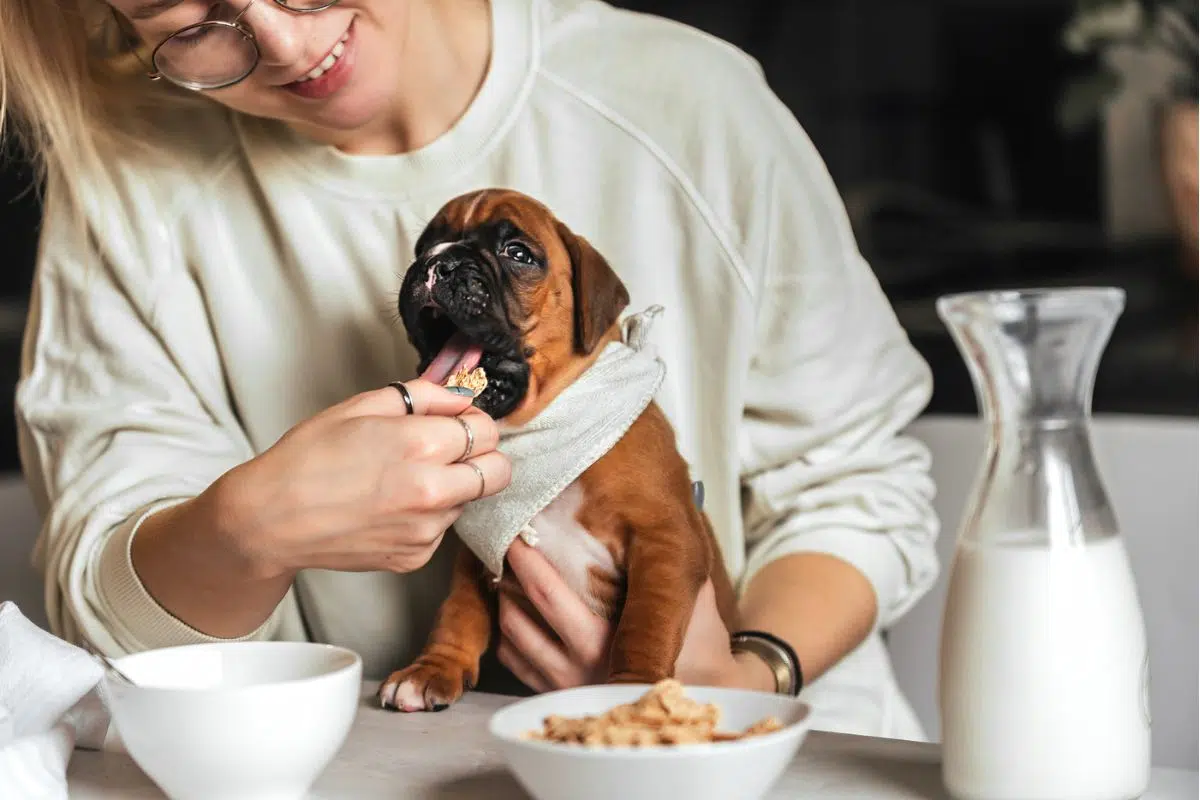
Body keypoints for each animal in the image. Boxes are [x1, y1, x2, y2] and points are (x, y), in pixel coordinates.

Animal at [379, 189, 734, 714]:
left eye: (518, 253)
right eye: (425, 245)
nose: (439, 262)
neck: (542, 424)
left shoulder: (667, 537)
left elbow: (645, 623)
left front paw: (634, 689)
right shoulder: (477, 554)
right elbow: (459, 610)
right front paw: (434, 668)